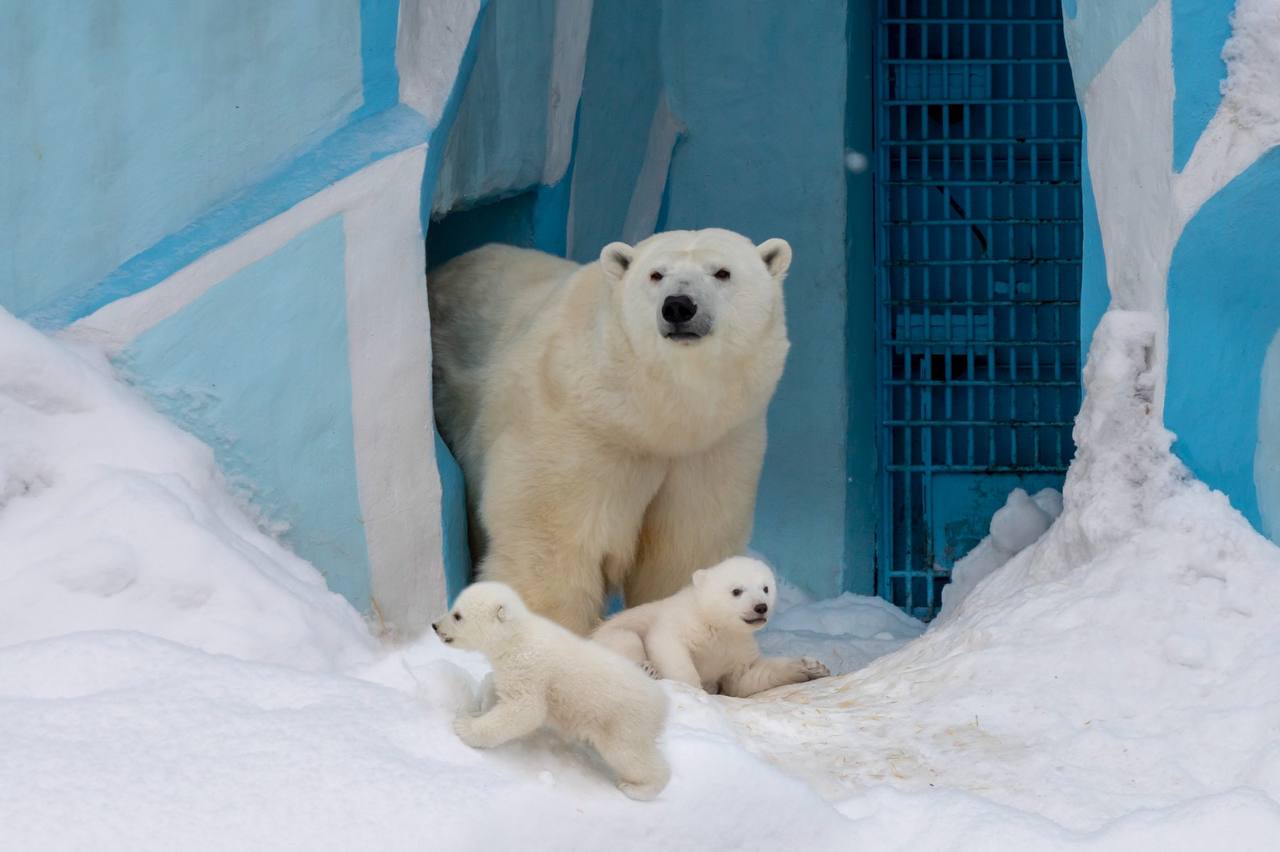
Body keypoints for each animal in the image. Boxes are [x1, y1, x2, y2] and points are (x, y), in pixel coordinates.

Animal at [432, 225, 788, 629]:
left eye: (722, 272)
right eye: (656, 274)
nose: (678, 306)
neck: (650, 420)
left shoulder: (715, 447)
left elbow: (684, 550)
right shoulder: (577, 430)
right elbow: (551, 543)